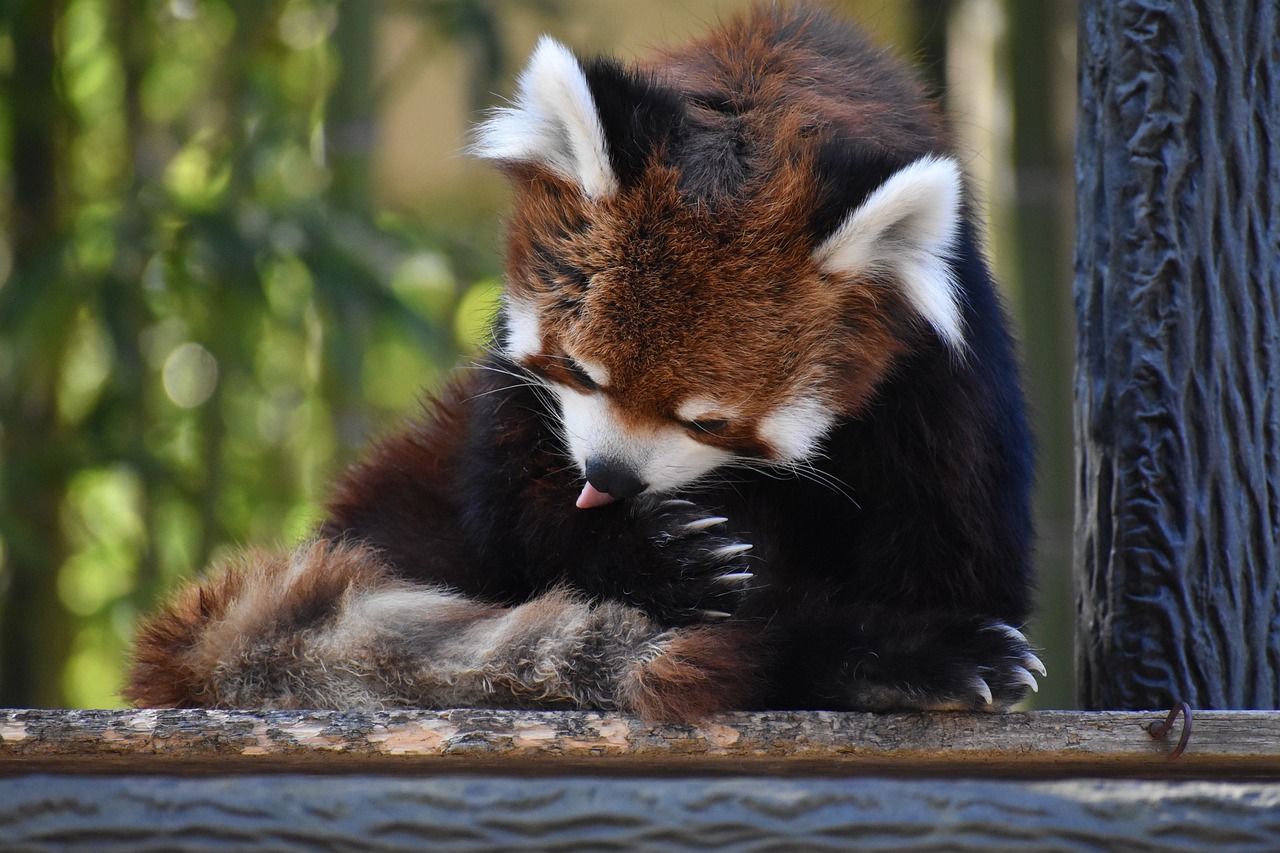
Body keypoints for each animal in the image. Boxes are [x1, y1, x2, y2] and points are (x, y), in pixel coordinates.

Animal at [127, 6, 1039, 717]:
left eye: (709, 420)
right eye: (581, 370)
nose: (612, 475)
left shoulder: (942, 387)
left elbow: (955, 560)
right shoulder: (511, 405)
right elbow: (524, 524)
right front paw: (671, 559)